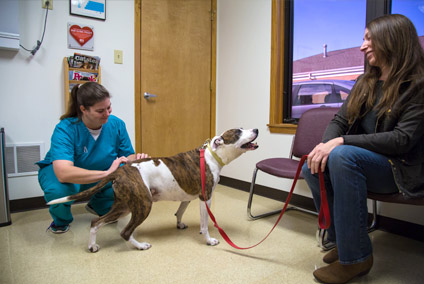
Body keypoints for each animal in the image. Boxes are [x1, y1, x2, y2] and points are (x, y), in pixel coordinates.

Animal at [46, 127, 258, 252]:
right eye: (238, 132)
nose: (256, 129)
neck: (212, 155)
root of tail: (120, 171)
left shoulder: (188, 196)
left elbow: (180, 211)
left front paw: (180, 224)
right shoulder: (205, 197)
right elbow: (205, 222)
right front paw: (208, 239)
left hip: (124, 205)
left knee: (96, 222)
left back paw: (92, 246)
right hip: (143, 204)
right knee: (125, 232)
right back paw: (140, 246)